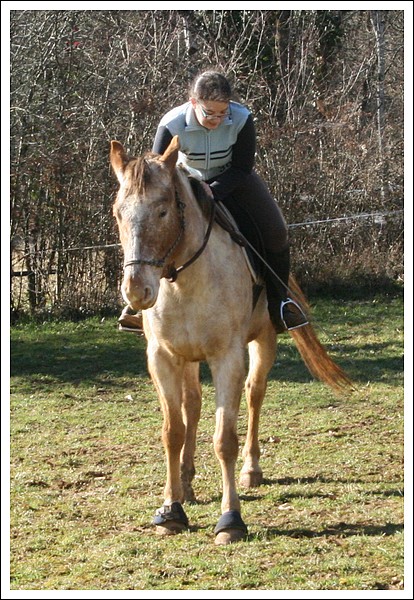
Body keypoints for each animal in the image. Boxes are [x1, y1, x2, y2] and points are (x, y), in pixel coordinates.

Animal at [108, 135, 350, 544]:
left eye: (162, 211)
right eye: (118, 214)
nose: (137, 292)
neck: (183, 280)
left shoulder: (227, 358)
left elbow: (225, 439)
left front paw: (230, 519)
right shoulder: (163, 358)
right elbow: (173, 431)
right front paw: (171, 509)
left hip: (262, 342)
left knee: (254, 395)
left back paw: (251, 471)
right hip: (189, 358)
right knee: (192, 406)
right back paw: (187, 483)